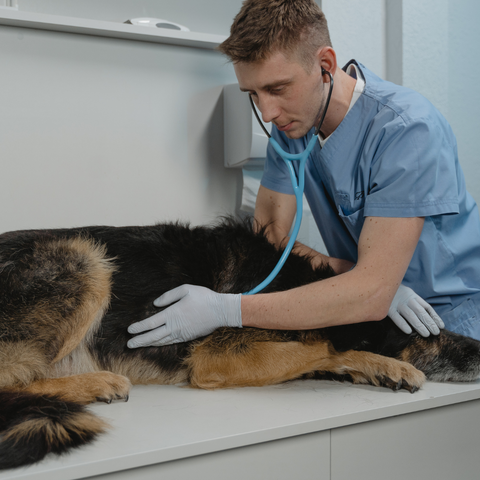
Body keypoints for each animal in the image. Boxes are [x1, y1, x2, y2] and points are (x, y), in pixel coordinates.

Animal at [0, 219, 480, 470]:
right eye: (424, 333)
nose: (479, 351)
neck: (299, 286)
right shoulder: (218, 357)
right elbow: (325, 345)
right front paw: (382, 362)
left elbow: (323, 352)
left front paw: (379, 368)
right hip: (85, 257)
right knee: (10, 379)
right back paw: (97, 384)